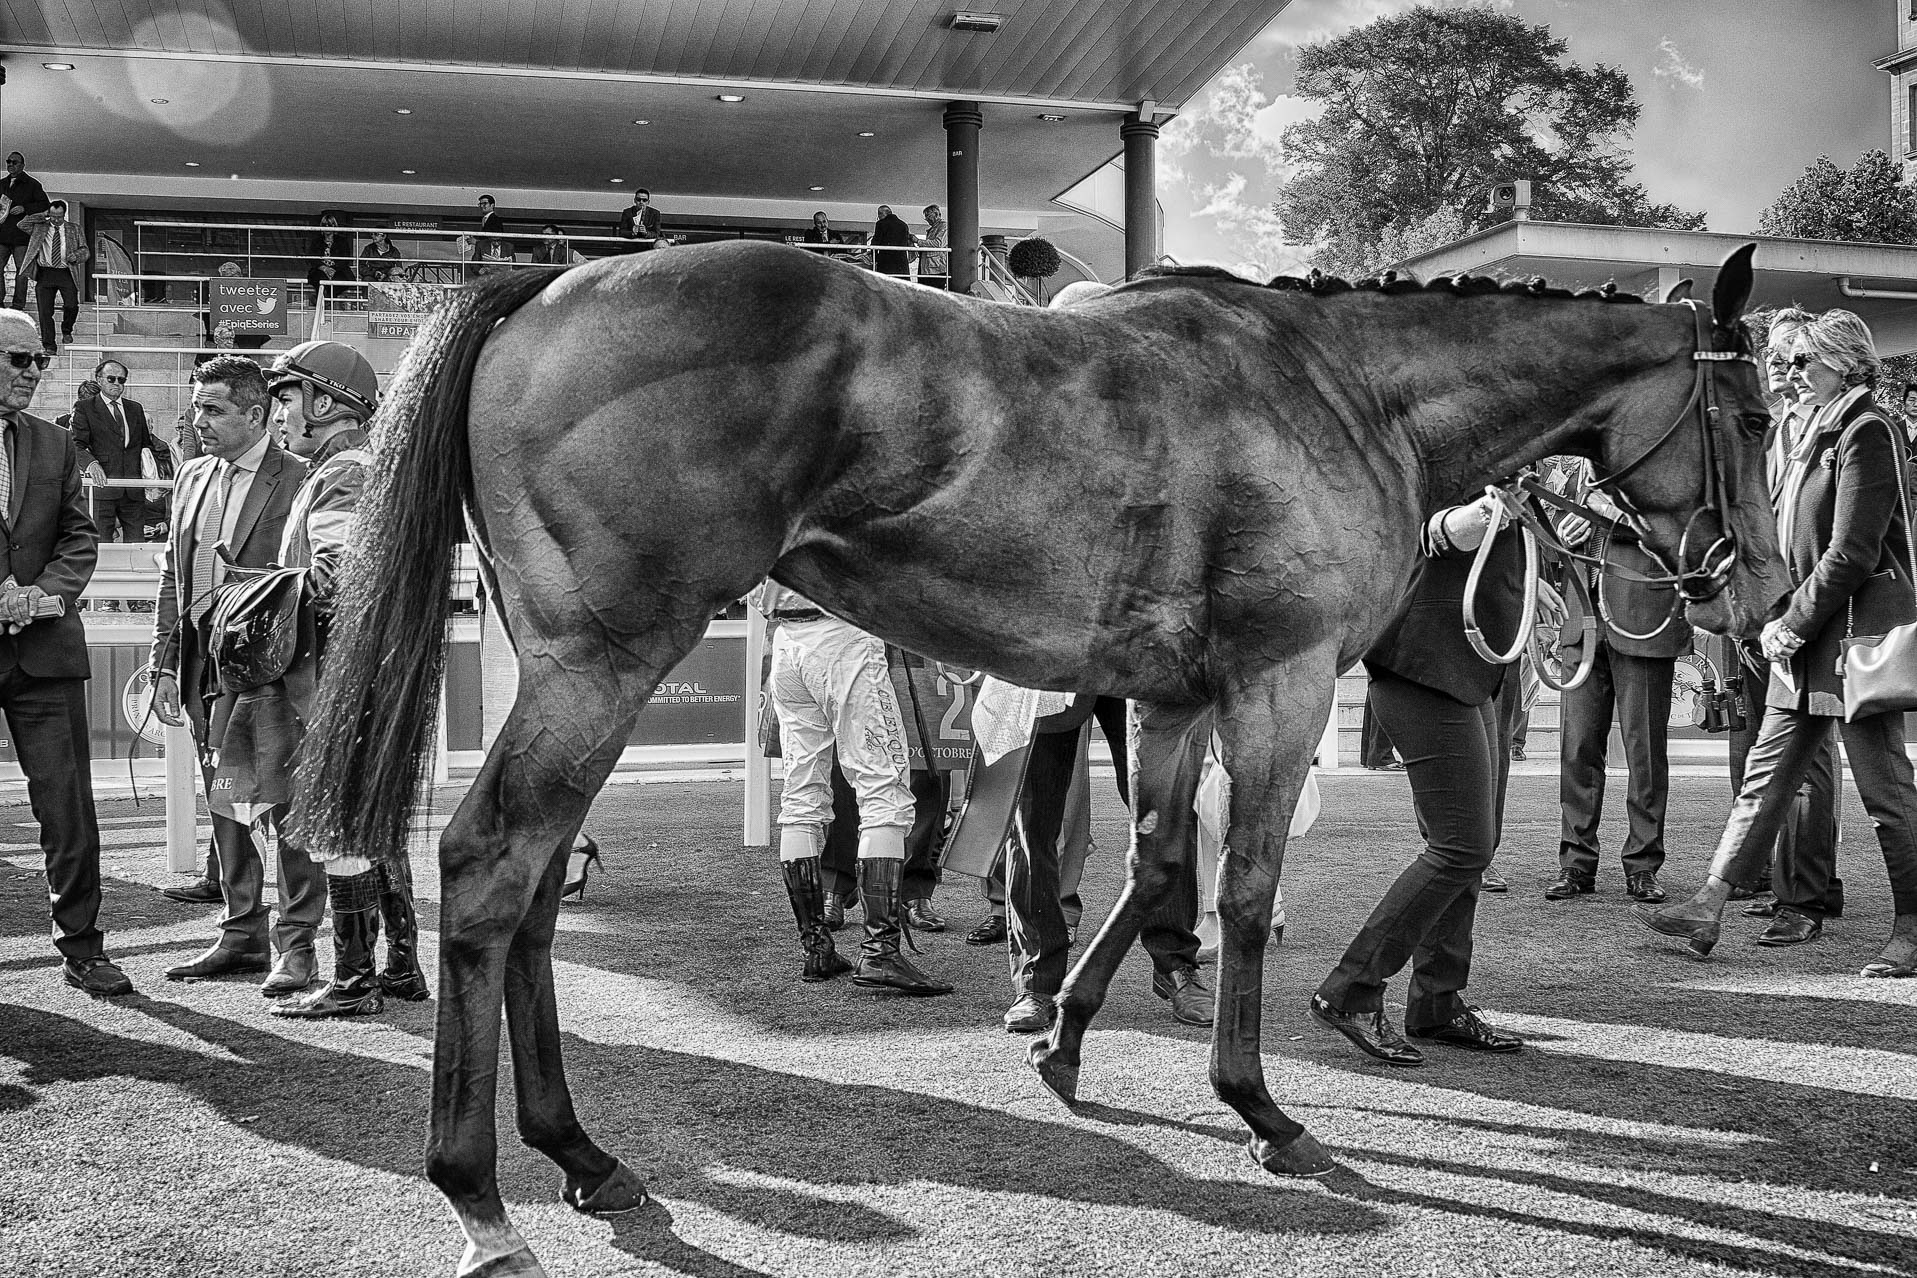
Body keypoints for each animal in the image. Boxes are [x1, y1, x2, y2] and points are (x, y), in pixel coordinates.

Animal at [295, 240, 1787, 1277]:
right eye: (1761, 417)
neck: (1343, 391)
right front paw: (1261, 1106)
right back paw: (479, 1191)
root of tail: (549, 282)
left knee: (537, 888)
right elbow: (1242, 891)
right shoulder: (1281, 682)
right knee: (490, 864)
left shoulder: (1175, 699)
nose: (1760, 590)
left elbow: (1156, 862)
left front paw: (1066, 1034)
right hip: (605, 659)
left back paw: (580, 1151)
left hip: (571, 667)